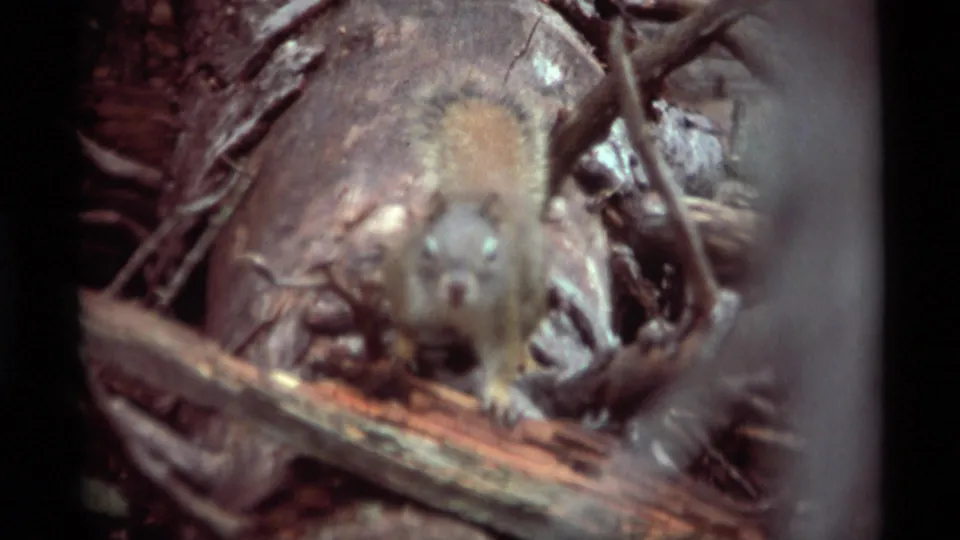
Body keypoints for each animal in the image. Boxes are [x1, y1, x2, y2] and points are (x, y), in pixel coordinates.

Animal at [381, 81, 550, 425]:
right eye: (429, 248)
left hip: (531, 292)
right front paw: (402, 350)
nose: (457, 288)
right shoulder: (406, 289)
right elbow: (405, 324)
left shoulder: (502, 312)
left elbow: (501, 357)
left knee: (524, 331)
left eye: (492, 254)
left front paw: (499, 397)